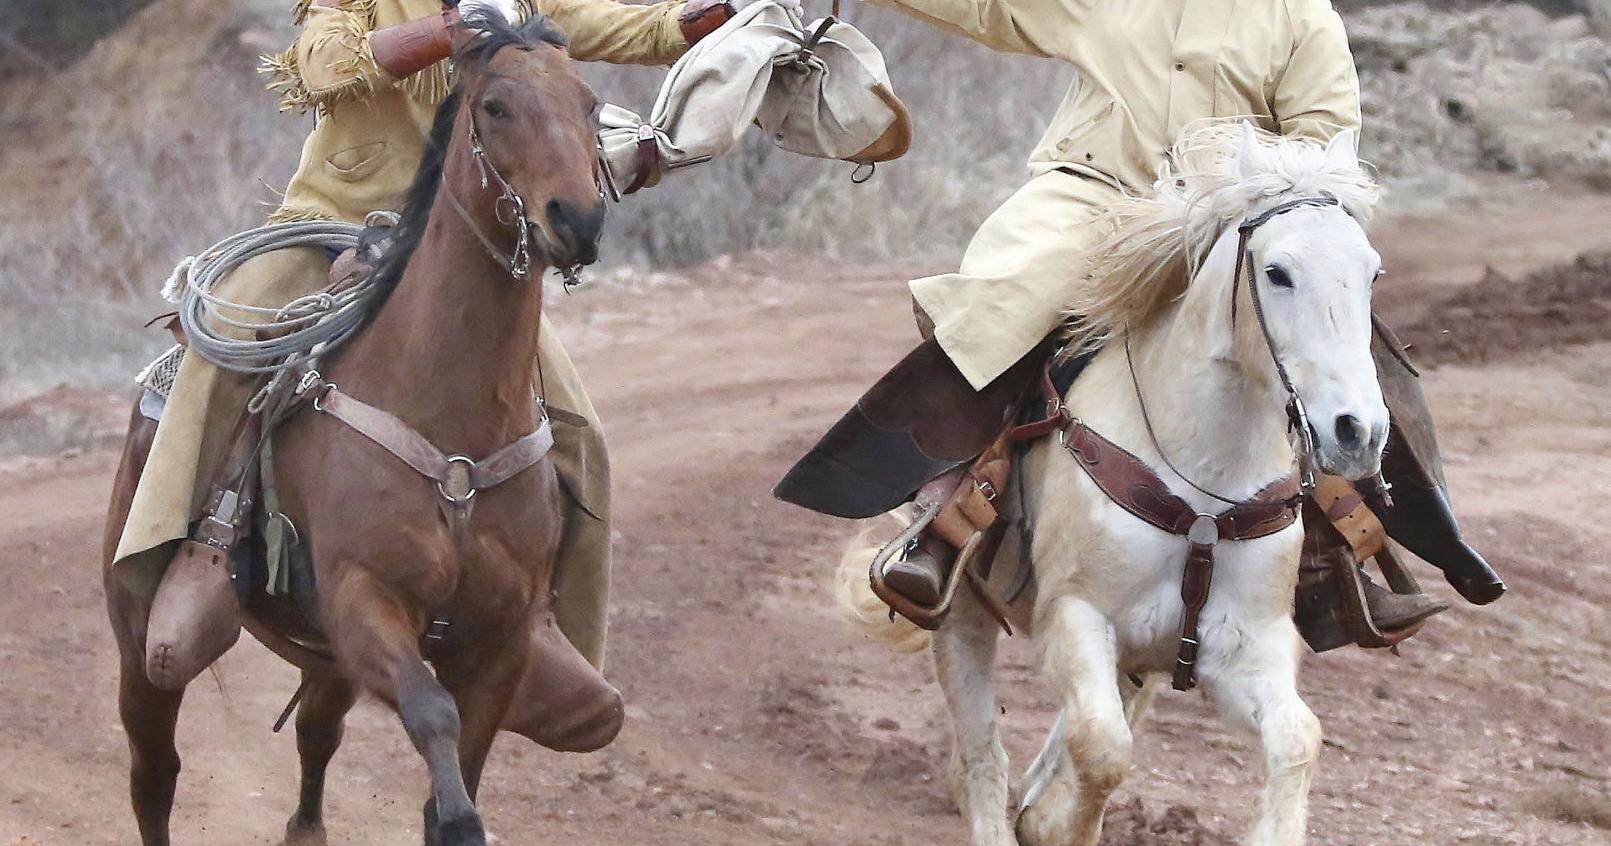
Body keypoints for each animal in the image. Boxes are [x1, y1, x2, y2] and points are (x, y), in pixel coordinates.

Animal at [102, 17, 607, 846]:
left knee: (314, 737)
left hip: (324, 659)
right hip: (140, 633)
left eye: (589, 104)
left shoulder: (499, 638)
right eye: (496, 106)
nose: (578, 219)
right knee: (154, 773)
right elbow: (432, 718)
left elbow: (462, 761)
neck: (453, 429)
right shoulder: (365, 601)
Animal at [839, 122, 1387, 846]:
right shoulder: (1075, 618)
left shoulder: (1243, 648)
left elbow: (1297, 740)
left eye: (1371, 273)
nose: (1357, 431)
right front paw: (1053, 822)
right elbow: (1101, 748)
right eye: (1277, 272)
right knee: (980, 757)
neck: (1203, 494)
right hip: (961, 613)